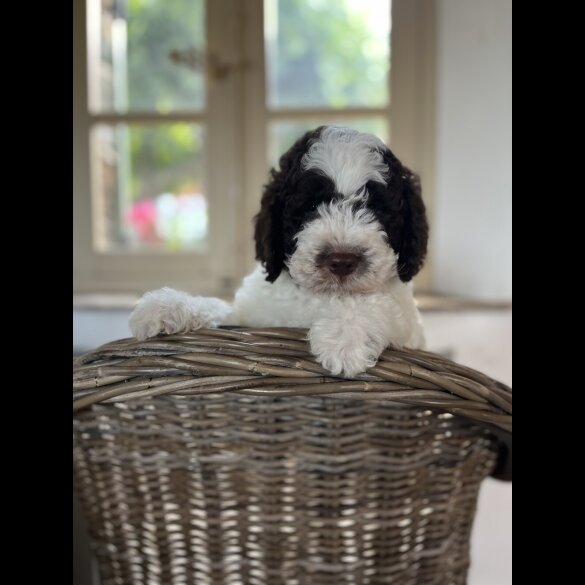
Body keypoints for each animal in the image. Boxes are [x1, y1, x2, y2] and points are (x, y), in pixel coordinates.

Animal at [129, 125, 428, 376]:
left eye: (376, 209)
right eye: (309, 207)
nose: (342, 261)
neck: (321, 297)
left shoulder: (406, 324)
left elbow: (376, 305)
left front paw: (345, 334)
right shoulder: (252, 319)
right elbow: (221, 307)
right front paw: (166, 306)